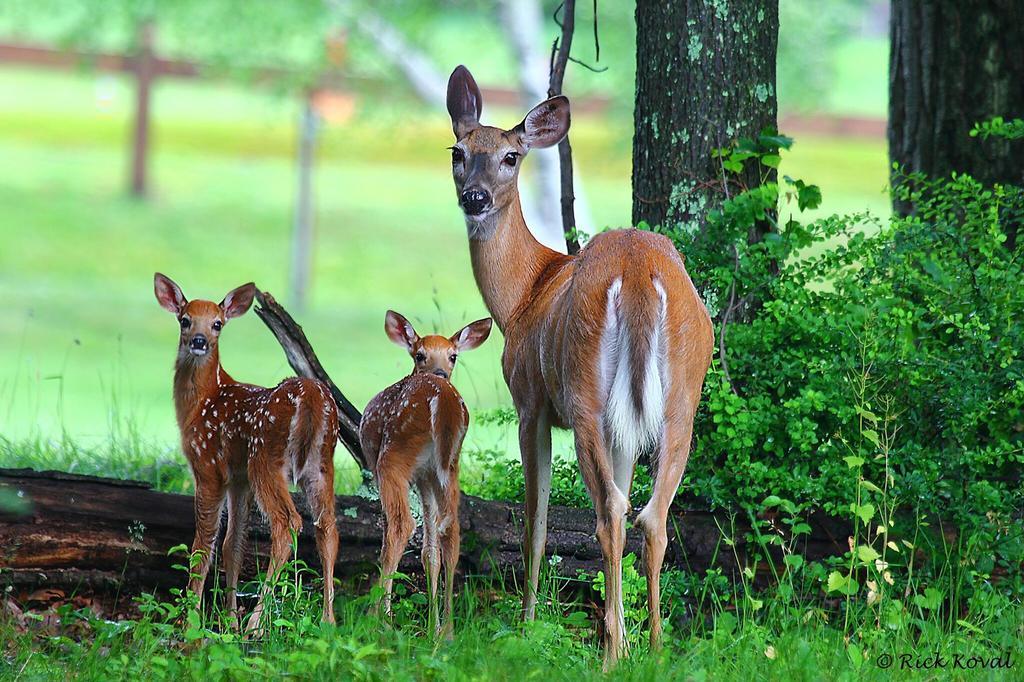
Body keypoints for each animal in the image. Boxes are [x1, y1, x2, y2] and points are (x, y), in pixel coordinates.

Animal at [155, 274, 337, 630]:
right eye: (185, 319)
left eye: (218, 323)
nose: (199, 341)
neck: (201, 403)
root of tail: (311, 394)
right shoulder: (238, 480)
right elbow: (232, 546)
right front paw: (228, 620)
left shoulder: (208, 466)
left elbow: (203, 546)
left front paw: (190, 621)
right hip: (321, 463)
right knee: (328, 527)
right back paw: (328, 620)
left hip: (265, 459)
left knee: (288, 523)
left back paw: (257, 623)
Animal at [360, 311, 491, 634]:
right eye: (420, 355)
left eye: (453, 356)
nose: (441, 372)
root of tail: (442, 402)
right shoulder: (426, 476)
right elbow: (430, 551)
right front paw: (432, 627)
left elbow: (391, 535)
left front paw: (389, 615)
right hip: (450, 466)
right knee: (451, 531)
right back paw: (447, 632)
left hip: (392, 455)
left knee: (401, 525)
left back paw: (377, 619)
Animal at [444, 66, 716, 659]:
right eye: (457, 151)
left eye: (510, 156)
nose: (474, 197)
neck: (523, 296)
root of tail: (638, 273)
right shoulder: (623, 429)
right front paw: (620, 629)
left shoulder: (530, 402)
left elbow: (535, 520)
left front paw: (527, 623)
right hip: (681, 399)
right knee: (651, 515)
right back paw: (652, 648)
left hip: (585, 392)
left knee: (611, 512)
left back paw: (613, 654)